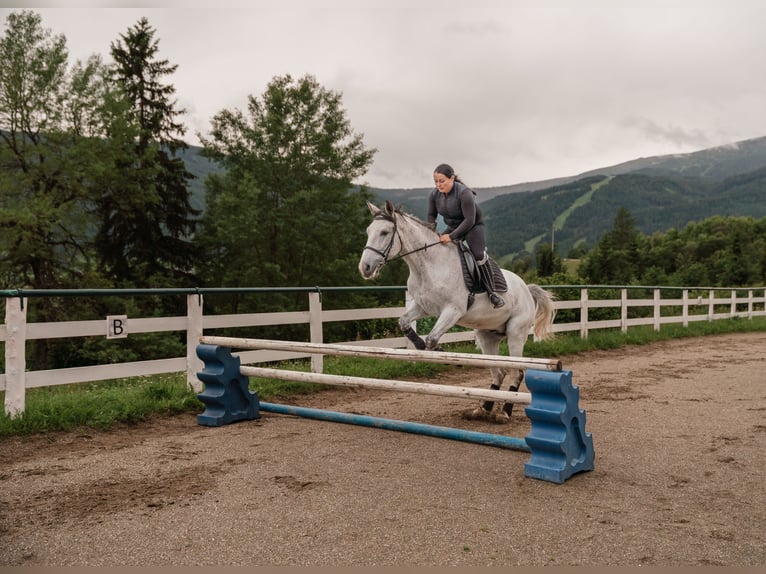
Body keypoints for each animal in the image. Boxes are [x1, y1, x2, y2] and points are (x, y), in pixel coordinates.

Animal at [356, 202, 556, 424]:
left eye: (384, 232)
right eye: (368, 231)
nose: (365, 268)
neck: (427, 265)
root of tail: (526, 289)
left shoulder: (453, 310)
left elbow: (432, 338)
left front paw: (441, 353)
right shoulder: (422, 306)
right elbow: (404, 323)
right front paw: (420, 346)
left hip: (515, 334)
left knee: (517, 372)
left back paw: (505, 411)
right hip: (487, 336)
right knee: (499, 372)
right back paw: (484, 409)